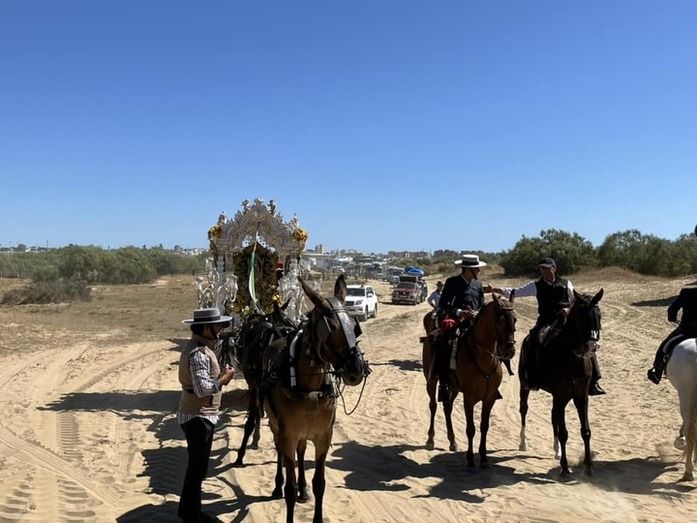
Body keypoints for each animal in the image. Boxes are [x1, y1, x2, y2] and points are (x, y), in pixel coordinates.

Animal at [231, 301, 296, 467]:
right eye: (284, 327)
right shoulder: (255, 387)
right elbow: (250, 421)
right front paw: (240, 456)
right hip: (254, 385)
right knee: (256, 409)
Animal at [263, 274, 370, 523]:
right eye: (332, 329)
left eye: (354, 326)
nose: (356, 369)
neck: (309, 389)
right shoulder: (289, 435)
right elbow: (289, 487)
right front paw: (287, 490)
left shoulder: (323, 437)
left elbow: (319, 482)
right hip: (275, 426)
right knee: (280, 453)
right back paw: (277, 485)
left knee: (301, 453)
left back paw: (303, 490)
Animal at [421, 295, 517, 462]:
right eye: (500, 319)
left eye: (515, 319)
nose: (509, 350)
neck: (484, 358)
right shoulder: (469, 398)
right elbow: (471, 428)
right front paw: (470, 458)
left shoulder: (489, 398)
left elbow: (484, 427)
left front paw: (483, 457)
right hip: (431, 380)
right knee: (433, 405)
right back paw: (431, 439)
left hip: (453, 387)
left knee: (447, 407)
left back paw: (452, 441)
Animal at [518, 289, 603, 476]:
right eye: (583, 316)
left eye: (599, 315)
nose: (592, 345)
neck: (572, 356)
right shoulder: (561, 394)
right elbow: (564, 432)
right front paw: (565, 468)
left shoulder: (581, 396)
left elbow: (586, 431)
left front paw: (588, 466)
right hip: (525, 387)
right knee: (524, 410)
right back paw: (523, 443)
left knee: (553, 416)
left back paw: (556, 450)